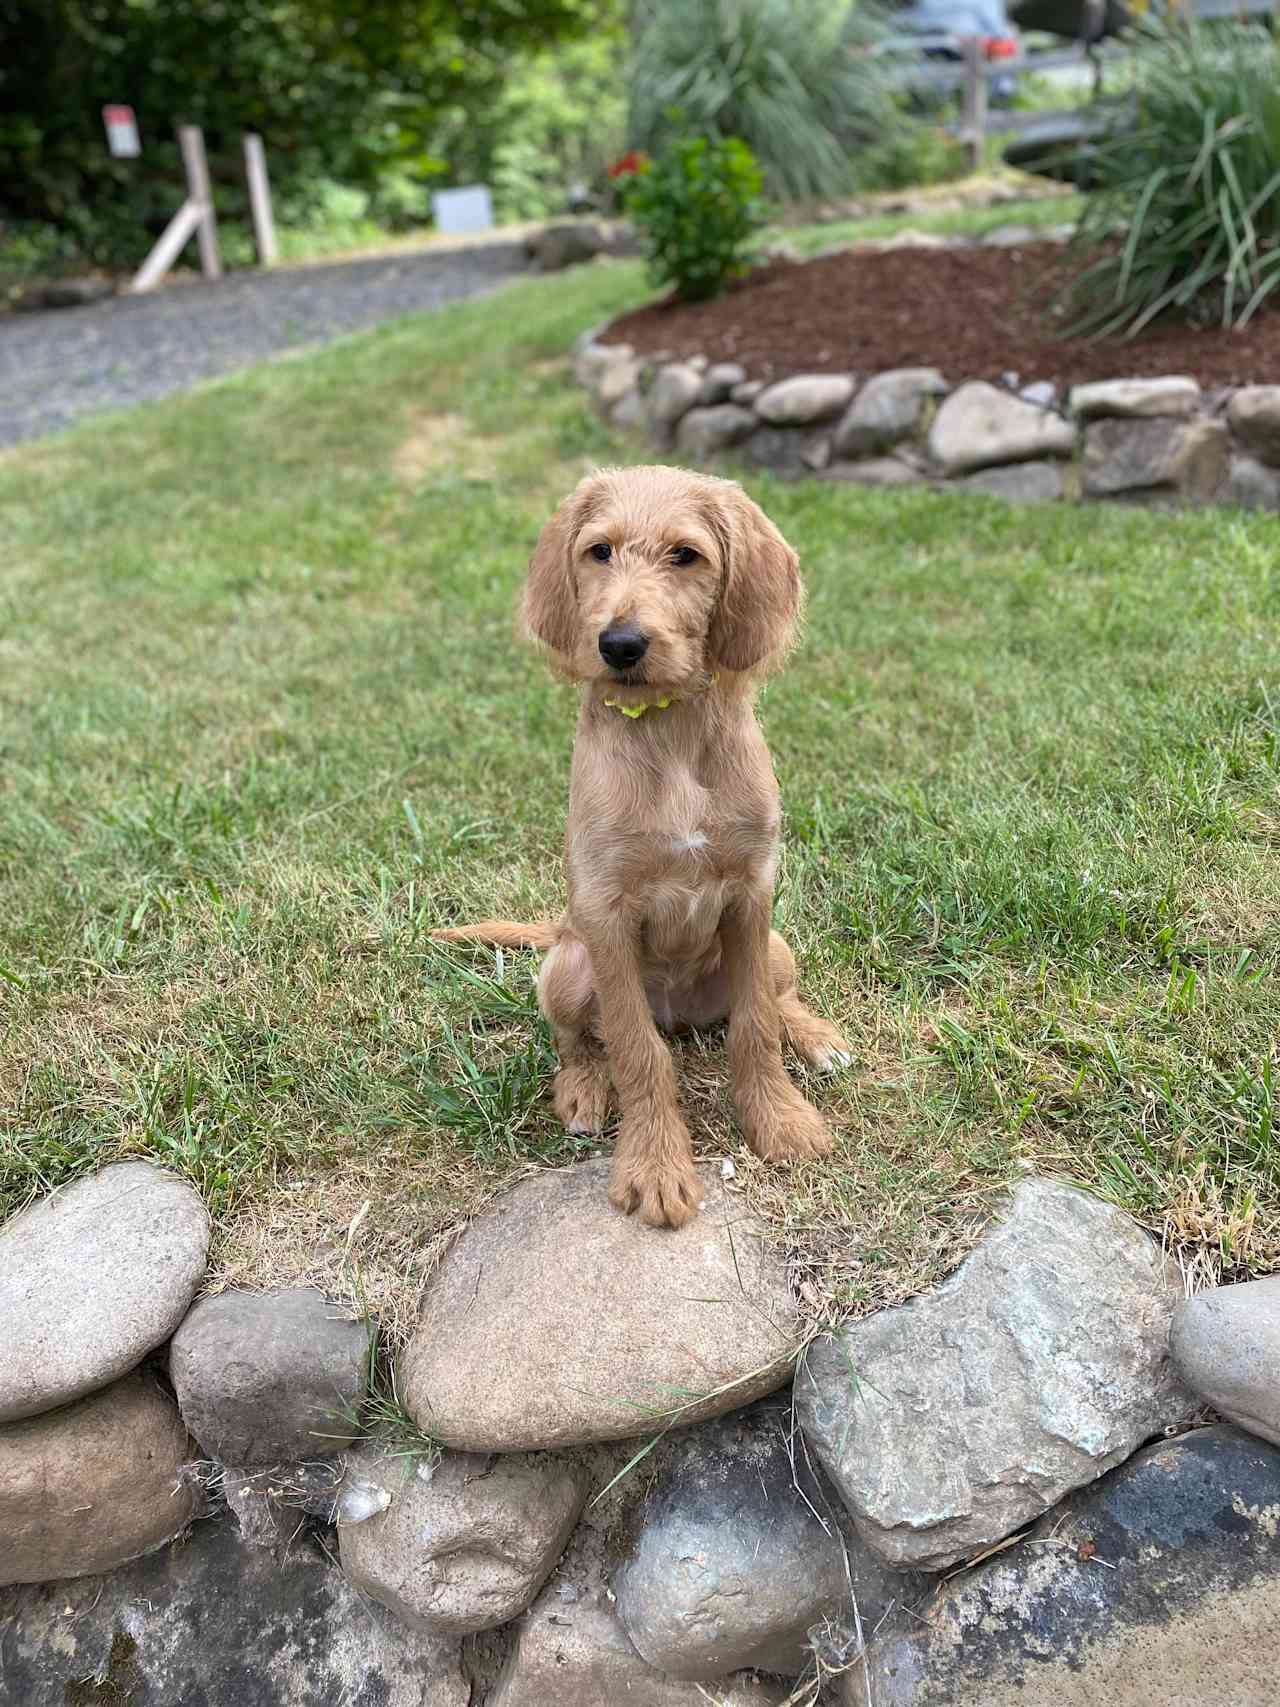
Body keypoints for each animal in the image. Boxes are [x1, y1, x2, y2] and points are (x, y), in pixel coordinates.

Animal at [440, 464, 853, 1229]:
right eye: (598, 551)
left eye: (685, 555)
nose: (620, 645)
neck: (667, 727)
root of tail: (684, 1014)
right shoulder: (607, 913)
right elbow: (638, 1051)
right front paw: (656, 1166)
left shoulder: (752, 893)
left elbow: (755, 1025)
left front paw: (779, 1120)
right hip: (567, 965)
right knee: (581, 1039)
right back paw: (581, 1091)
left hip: (775, 945)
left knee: (776, 999)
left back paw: (817, 1039)